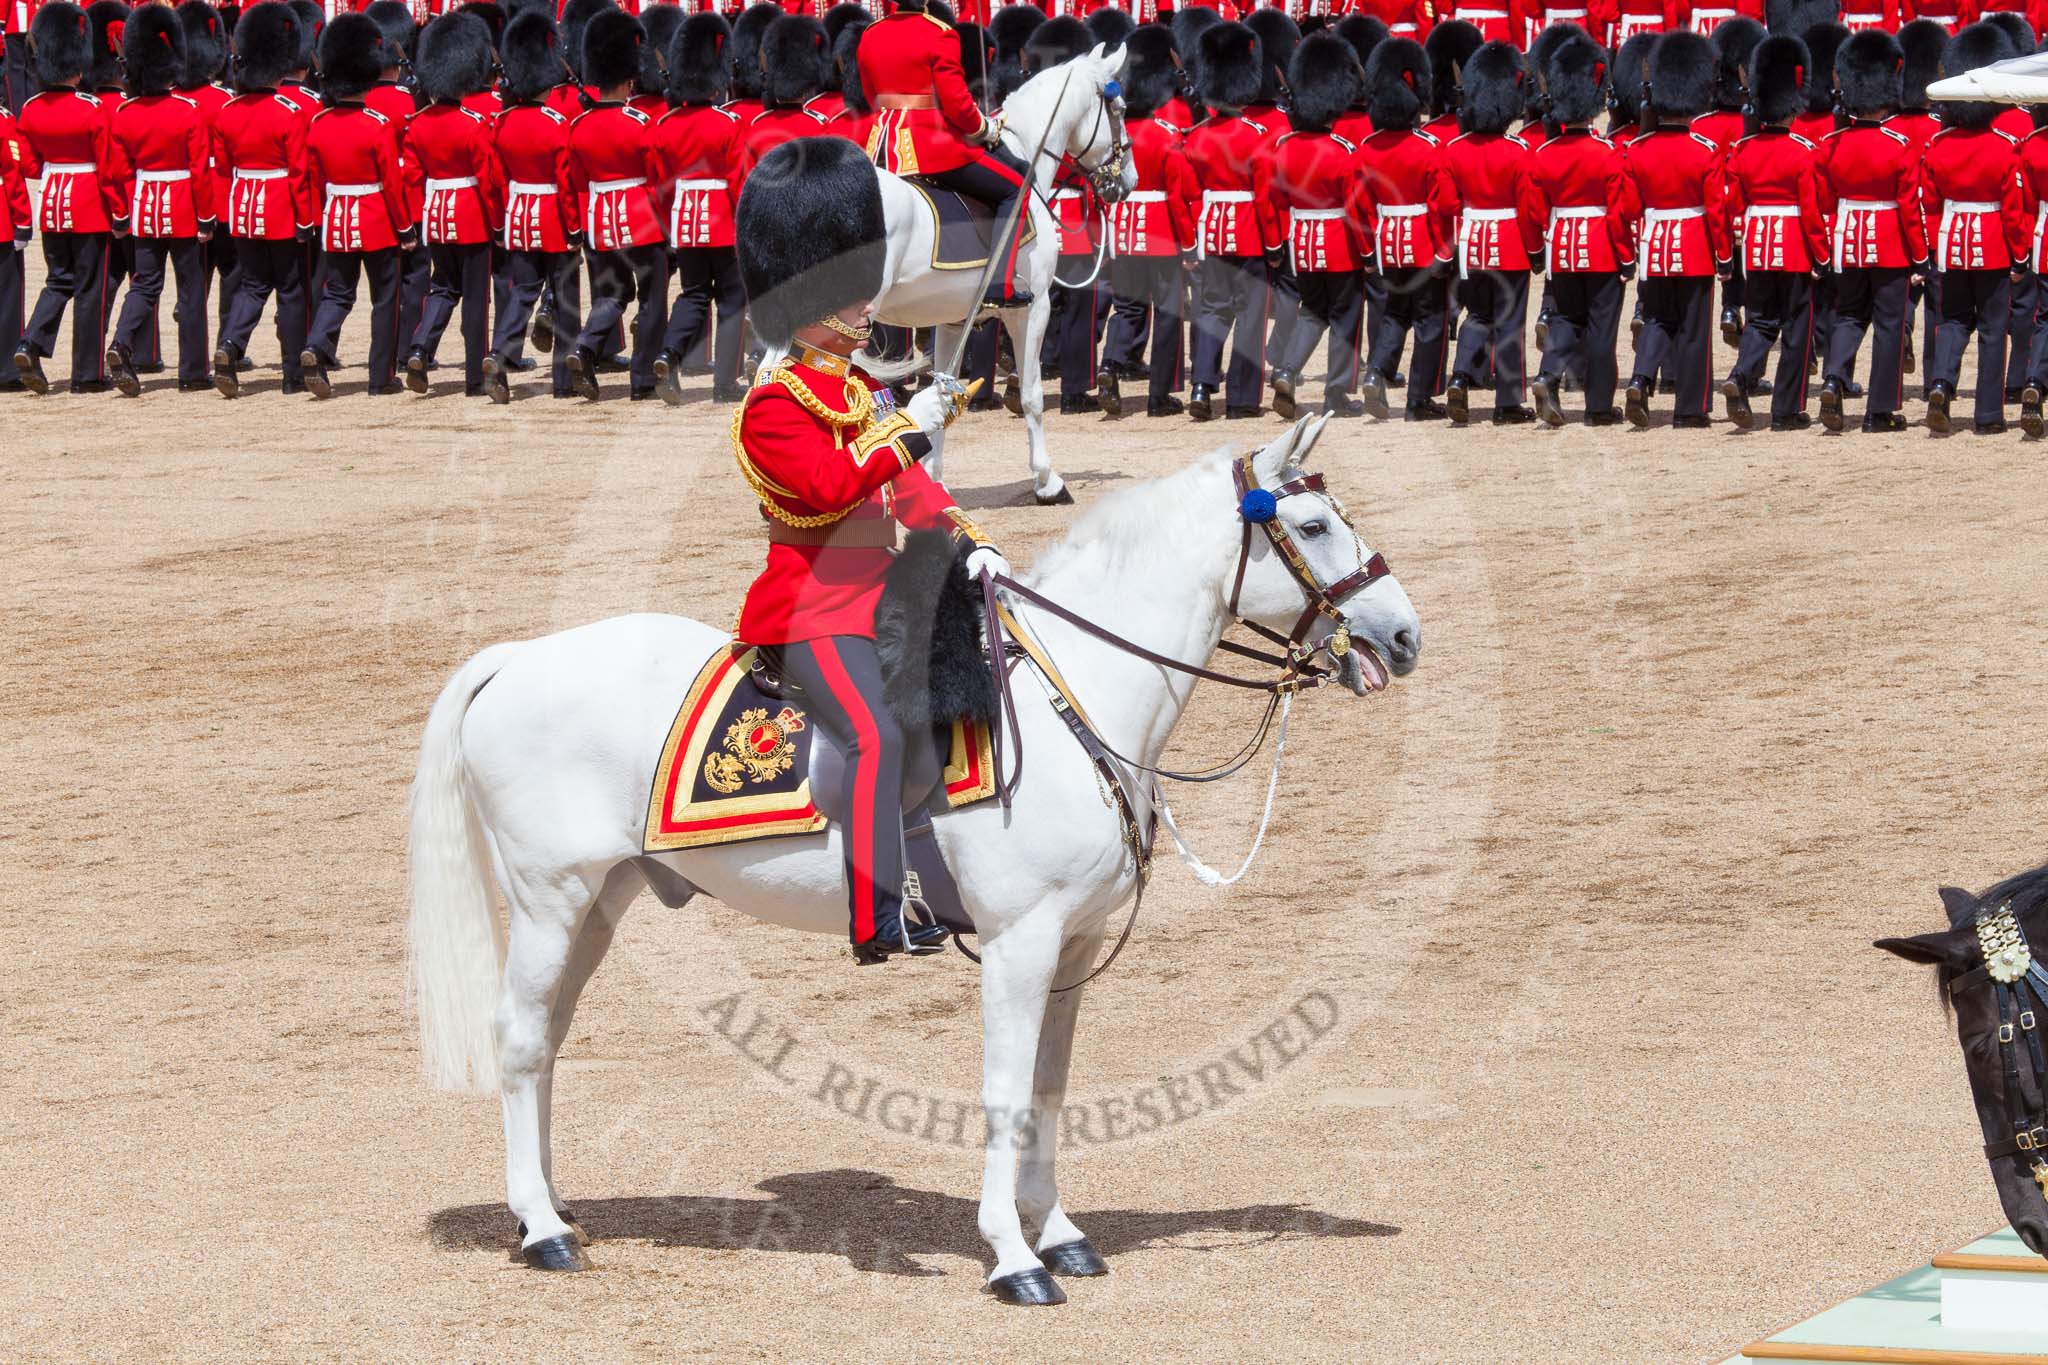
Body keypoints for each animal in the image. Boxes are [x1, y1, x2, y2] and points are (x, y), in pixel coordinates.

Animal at [405, 416, 1423, 1303]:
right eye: (1313, 525)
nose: (1406, 635)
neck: (1074, 695)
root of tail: (515, 657)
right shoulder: (1020, 942)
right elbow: (1006, 1093)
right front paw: (1014, 1257)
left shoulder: (1074, 946)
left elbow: (1049, 1087)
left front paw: (1060, 1231)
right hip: (550, 898)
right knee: (519, 1037)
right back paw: (542, 1231)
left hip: (600, 902)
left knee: (546, 1043)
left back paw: (551, 1208)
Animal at [861, 43, 1137, 508]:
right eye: (1117, 109)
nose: (1128, 181)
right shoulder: (1031, 309)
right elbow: (1031, 396)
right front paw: (1047, 481)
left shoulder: (952, 320)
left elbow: (945, 386)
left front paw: (935, 480)